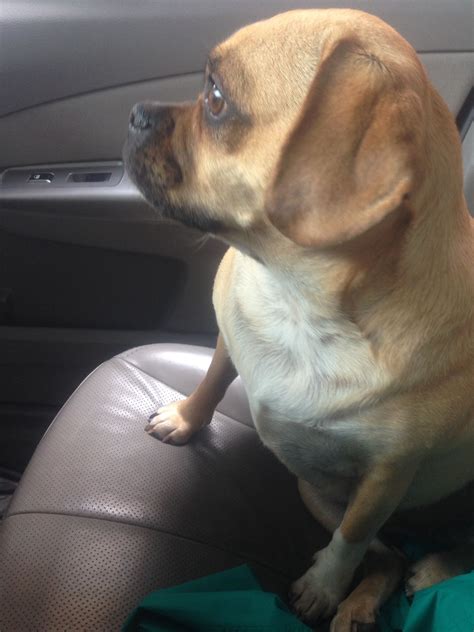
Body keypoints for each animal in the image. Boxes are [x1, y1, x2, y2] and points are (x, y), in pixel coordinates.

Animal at [125, 9, 474, 632]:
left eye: (215, 98)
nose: (136, 113)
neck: (299, 299)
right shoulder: (229, 337)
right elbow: (214, 379)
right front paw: (187, 419)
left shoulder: (387, 475)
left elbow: (349, 540)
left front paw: (324, 584)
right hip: (312, 490)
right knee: (386, 558)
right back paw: (361, 604)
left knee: (411, 547)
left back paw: (421, 572)